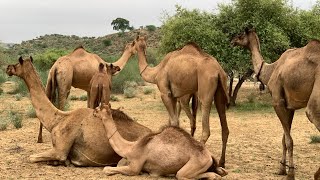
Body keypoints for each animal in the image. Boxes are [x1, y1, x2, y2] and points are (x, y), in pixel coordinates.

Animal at [5, 57, 151, 167]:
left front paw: (64, 162)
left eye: (17, 63)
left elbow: (31, 157)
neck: (56, 120)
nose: (7, 68)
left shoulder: (60, 150)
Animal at [92, 103, 228, 179]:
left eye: (99, 109)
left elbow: (107, 169)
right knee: (221, 171)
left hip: (195, 164)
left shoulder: (135, 166)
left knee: (183, 175)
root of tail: (208, 156)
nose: (93, 111)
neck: (130, 147)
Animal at [134, 36, 229, 167]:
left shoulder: (165, 93)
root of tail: (218, 71)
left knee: (205, 129)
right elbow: (172, 122)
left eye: (133, 43)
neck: (157, 71)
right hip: (220, 90)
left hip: (205, 90)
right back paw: (221, 162)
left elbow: (174, 122)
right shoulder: (174, 96)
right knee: (224, 127)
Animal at [231, 27, 320, 179]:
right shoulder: (289, 106)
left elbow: (289, 140)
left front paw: (291, 172)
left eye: (241, 34)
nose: (232, 41)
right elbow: (284, 138)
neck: (270, 70)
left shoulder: (277, 102)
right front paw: (281, 169)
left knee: (312, 113)